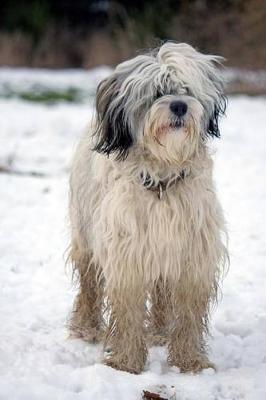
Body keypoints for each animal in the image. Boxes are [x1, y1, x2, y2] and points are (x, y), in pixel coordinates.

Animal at [67, 42, 228, 374]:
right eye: (156, 92)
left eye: (186, 89)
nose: (179, 106)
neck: (162, 179)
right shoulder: (127, 253)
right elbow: (127, 313)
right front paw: (126, 362)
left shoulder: (192, 255)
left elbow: (188, 314)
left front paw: (190, 361)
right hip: (86, 234)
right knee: (89, 284)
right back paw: (86, 328)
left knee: (163, 293)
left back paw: (160, 332)